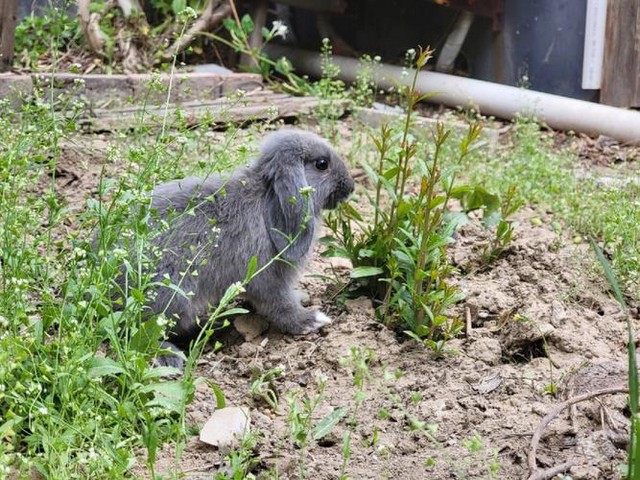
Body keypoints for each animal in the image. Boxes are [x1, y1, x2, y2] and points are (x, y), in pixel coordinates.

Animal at [144, 129, 356, 366]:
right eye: (322, 164)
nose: (351, 187)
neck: (266, 199)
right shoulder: (268, 281)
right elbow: (280, 306)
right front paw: (311, 320)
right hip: (170, 298)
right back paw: (171, 355)